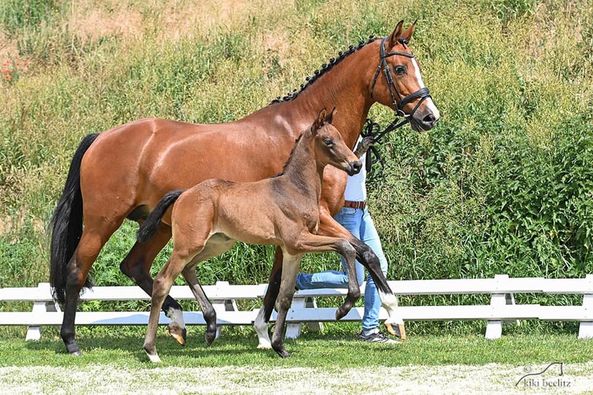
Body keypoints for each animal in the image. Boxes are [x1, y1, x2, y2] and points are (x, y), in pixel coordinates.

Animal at [138, 109, 360, 362]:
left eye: (341, 137)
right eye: (328, 141)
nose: (356, 165)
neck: (294, 190)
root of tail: (184, 193)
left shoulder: (293, 251)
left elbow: (285, 296)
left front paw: (279, 346)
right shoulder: (297, 240)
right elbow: (346, 245)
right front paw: (344, 308)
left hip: (215, 244)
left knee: (188, 269)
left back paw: (210, 329)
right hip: (187, 246)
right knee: (163, 281)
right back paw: (152, 350)